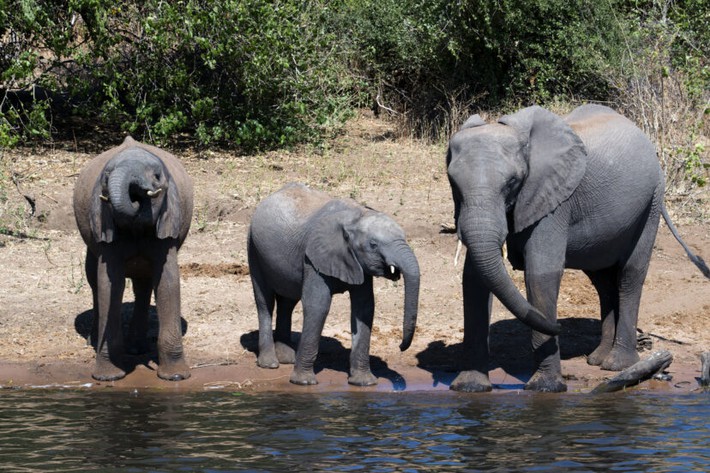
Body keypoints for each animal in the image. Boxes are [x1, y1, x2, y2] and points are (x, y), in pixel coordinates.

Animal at [73, 136, 193, 380]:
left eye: (157, 176)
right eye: (106, 177)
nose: (137, 195)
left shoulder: (168, 223)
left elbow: (167, 282)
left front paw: (176, 377)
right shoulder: (105, 224)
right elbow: (110, 284)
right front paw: (108, 377)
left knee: (143, 285)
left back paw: (136, 349)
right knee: (93, 281)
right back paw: (96, 341)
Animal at [248, 183, 420, 386]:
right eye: (373, 245)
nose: (401, 347)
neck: (356, 216)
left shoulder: (357, 263)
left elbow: (364, 308)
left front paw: (364, 383)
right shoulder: (313, 257)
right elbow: (318, 305)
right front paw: (304, 382)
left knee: (288, 302)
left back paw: (287, 359)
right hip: (253, 248)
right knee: (265, 301)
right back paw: (270, 363)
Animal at [448, 105, 708, 392]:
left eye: (512, 182)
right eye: (452, 183)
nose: (558, 325)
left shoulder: (554, 201)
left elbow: (540, 275)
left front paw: (546, 389)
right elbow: (473, 279)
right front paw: (470, 388)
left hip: (651, 201)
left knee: (630, 275)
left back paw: (617, 365)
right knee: (603, 282)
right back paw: (597, 359)